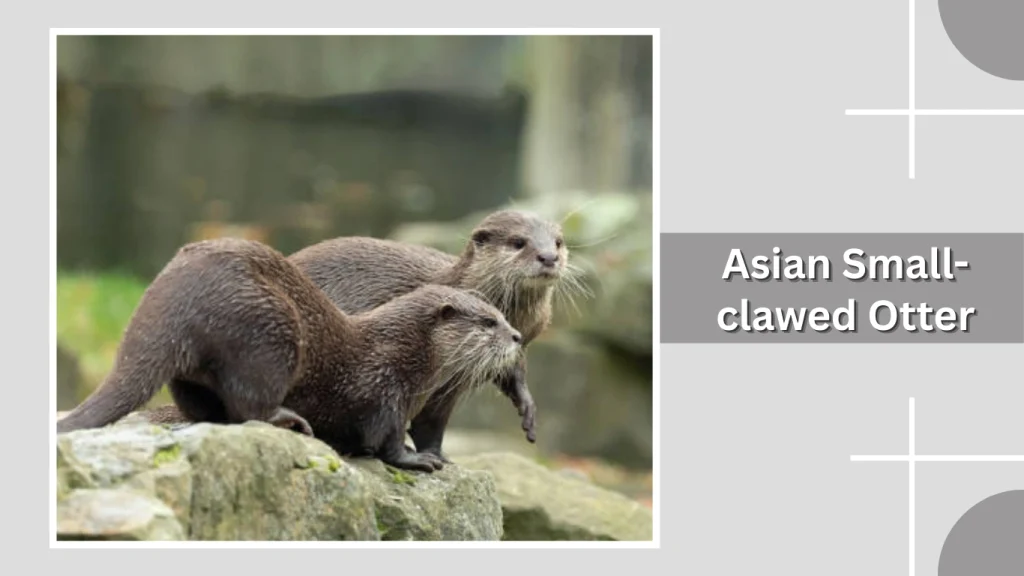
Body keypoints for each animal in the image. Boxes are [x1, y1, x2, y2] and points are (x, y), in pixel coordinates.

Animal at [56, 238, 522, 472]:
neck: (407, 351)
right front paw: (419, 459)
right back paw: (291, 421)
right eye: (488, 322)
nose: (518, 336)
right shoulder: (386, 387)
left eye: (503, 314)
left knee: (205, 410)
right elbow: (386, 440)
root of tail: (172, 297)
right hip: (269, 334)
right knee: (250, 406)